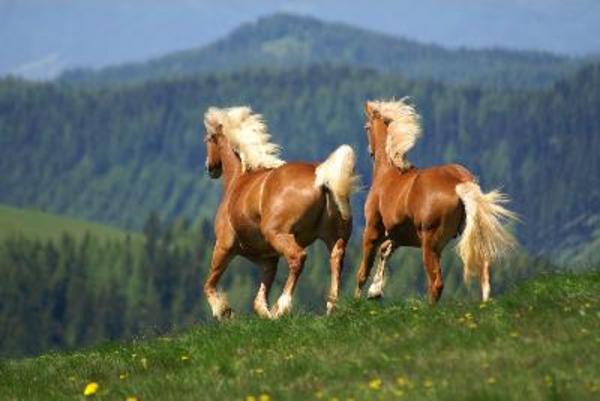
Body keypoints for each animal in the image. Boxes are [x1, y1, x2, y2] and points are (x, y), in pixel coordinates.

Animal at [204, 105, 358, 318]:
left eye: (209, 139)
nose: (210, 167)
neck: (238, 180)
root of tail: (322, 178)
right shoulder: (268, 260)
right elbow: (259, 303)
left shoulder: (223, 246)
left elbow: (209, 284)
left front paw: (223, 311)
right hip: (334, 236)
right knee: (336, 259)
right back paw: (331, 306)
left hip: (278, 234)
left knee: (298, 258)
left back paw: (283, 306)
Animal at [354, 98, 516, 302]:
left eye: (366, 127)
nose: (370, 151)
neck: (389, 172)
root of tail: (459, 182)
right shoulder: (398, 235)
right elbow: (385, 250)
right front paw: (375, 291)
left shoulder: (373, 229)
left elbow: (363, 271)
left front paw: (352, 302)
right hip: (471, 233)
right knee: (484, 272)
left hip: (430, 243)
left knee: (436, 282)